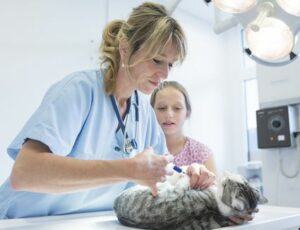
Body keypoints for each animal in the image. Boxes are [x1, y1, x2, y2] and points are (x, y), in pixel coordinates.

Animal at [113, 170, 268, 229]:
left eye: (227, 183)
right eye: (241, 179)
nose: (225, 174)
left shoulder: (177, 192)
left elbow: (182, 185)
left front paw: (185, 175)